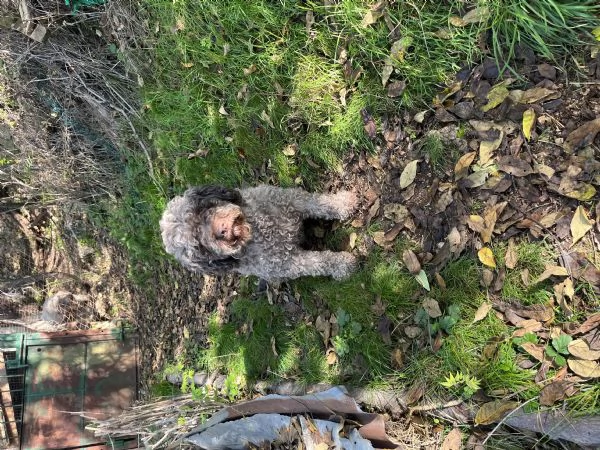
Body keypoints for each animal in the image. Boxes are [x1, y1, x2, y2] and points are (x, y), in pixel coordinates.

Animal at [159, 185, 358, 280]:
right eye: (199, 244)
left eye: (199, 213)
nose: (222, 231)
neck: (258, 231)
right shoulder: (290, 263)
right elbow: (320, 262)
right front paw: (343, 264)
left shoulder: (292, 199)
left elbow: (317, 202)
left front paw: (343, 203)